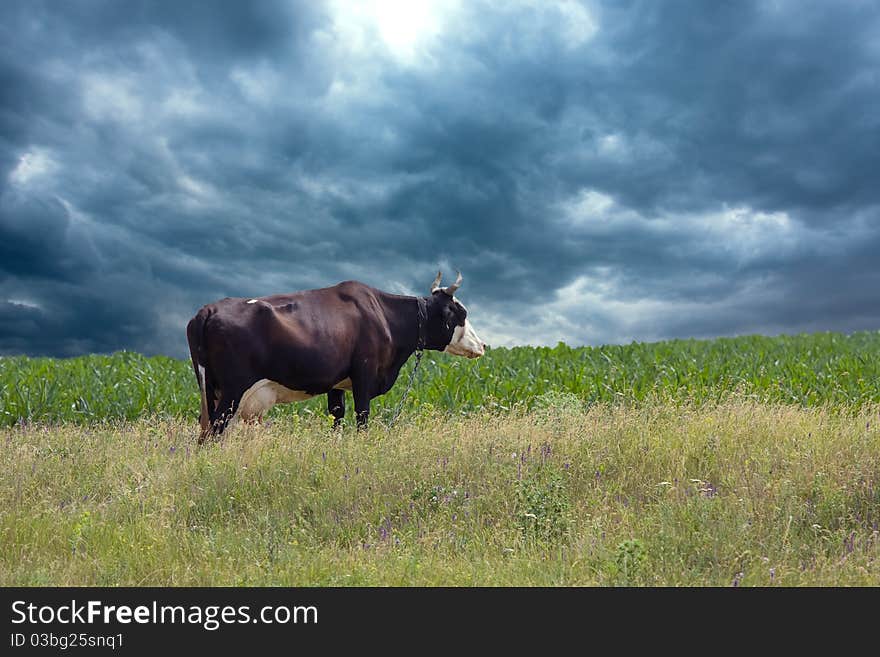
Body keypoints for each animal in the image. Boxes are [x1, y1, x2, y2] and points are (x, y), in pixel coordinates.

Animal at [187, 272, 488, 440]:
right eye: (460, 313)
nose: (483, 345)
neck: (384, 316)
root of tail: (208, 309)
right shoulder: (364, 375)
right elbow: (362, 418)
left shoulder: (337, 383)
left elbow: (337, 418)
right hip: (232, 392)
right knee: (211, 435)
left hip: (211, 392)